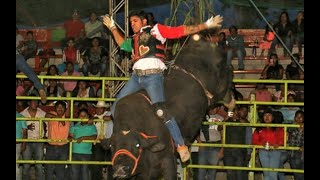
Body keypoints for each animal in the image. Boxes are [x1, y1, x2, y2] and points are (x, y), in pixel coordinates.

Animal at [101, 34, 234, 179]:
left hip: (221, 78)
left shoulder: (168, 161)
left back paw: (230, 102)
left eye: (137, 145)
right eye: (112, 146)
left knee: (227, 80)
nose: (120, 169)